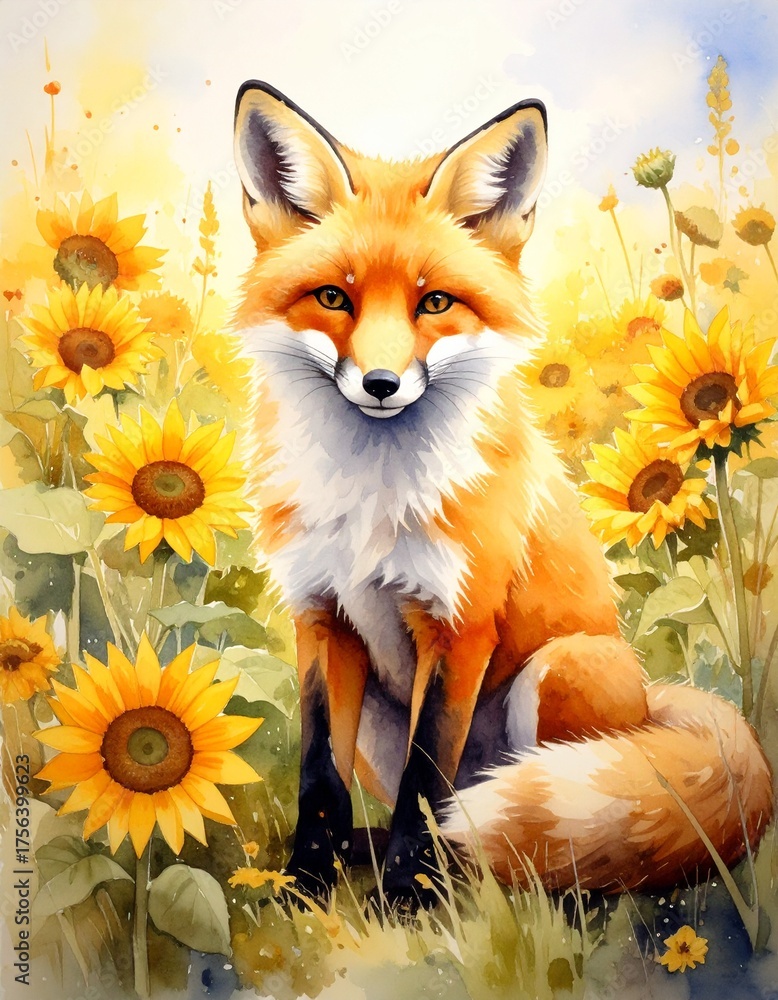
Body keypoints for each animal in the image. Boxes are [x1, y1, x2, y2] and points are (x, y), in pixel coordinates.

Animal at [232, 81, 773, 909]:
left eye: (434, 303)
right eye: (332, 298)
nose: (381, 384)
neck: (371, 497)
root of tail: (657, 701)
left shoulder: (461, 624)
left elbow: (427, 781)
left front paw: (409, 895)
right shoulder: (321, 616)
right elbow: (319, 777)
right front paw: (304, 886)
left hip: (561, 670)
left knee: (539, 834)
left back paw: (469, 872)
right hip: (384, 720)